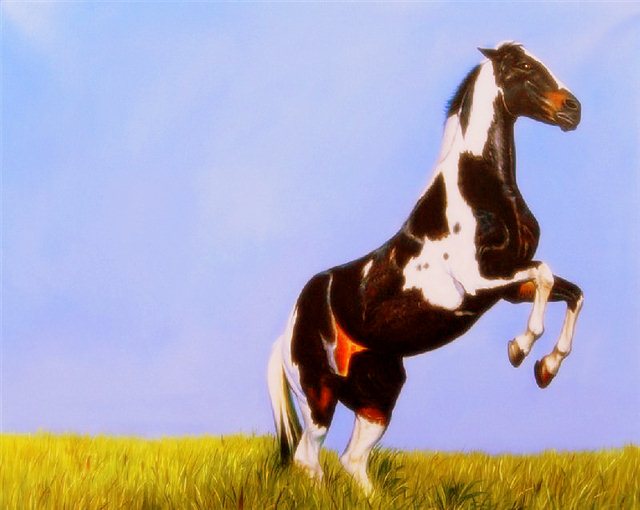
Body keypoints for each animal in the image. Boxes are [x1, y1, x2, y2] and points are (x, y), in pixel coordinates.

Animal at [267, 41, 583, 495]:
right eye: (523, 66)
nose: (573, 110)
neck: (481, 193)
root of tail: (287, 331)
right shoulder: (479, 282)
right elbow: (544, 274)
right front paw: (520, 350)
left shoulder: (507, 287)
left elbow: (570, 291)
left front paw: (546, 368)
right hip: (318, 397)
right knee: (309, 459)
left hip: (377, 397)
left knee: (352, 459)